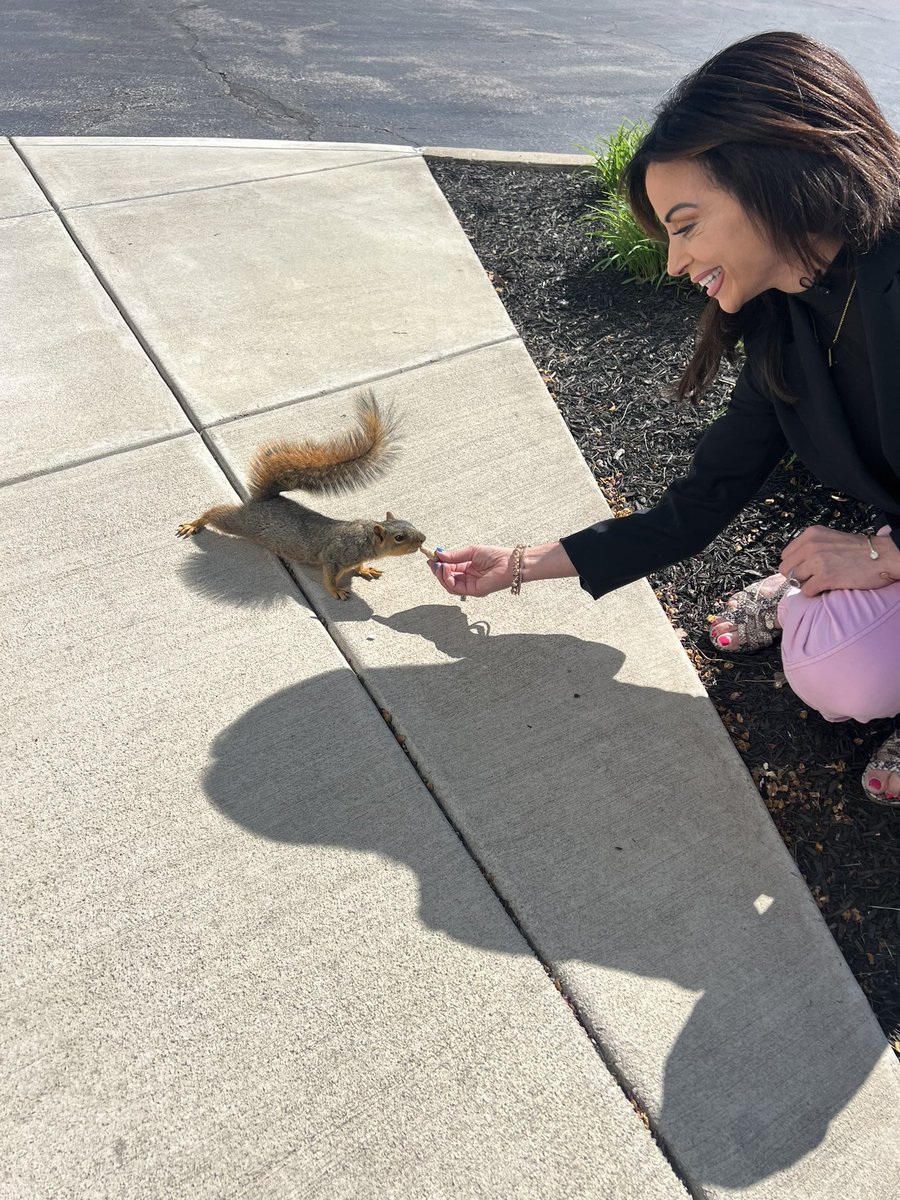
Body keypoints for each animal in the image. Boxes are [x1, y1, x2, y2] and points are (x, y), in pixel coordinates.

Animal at [180, 388, 429, 600]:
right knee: (217, 515)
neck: (365, 539)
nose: (423, 539)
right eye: (399, 538)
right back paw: (194, 524)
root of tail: (265, 499)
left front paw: (365, 569)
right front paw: (336, 591)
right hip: (243, 522)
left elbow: (358, 566)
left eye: (411, 524)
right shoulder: (334, 556)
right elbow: (329, 577)